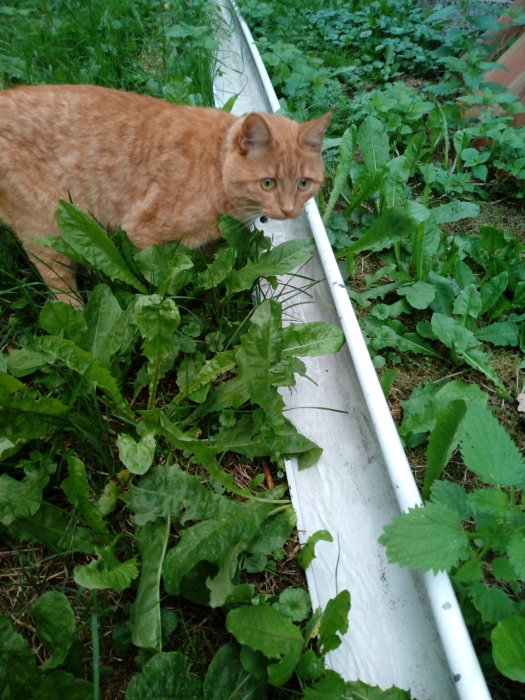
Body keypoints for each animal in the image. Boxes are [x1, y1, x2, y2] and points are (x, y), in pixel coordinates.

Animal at [0, 83, 328, 302]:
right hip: (45, 227)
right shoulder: (141, 233)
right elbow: (161, 281)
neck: (216, 165)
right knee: (60, 286)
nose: (288, 210)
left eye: (303, 183)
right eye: (268, 183)